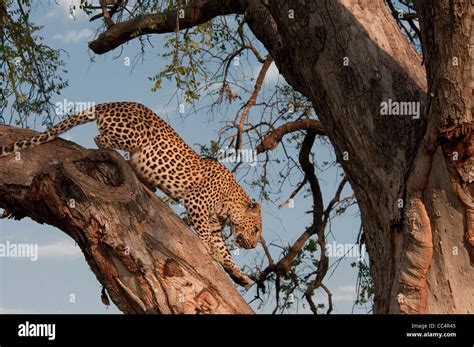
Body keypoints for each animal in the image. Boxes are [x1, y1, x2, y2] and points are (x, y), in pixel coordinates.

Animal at [0, 102, 262, 286]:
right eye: (257, 229)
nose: (252, 246)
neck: (230, 203)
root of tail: (111, 103)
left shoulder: (215, 223)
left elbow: (225, 251)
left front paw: (240, 275)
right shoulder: (196, 202)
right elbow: (208, 238)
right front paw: (211, 250)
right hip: (134, 136)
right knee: (100, 138)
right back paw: (124, 161)